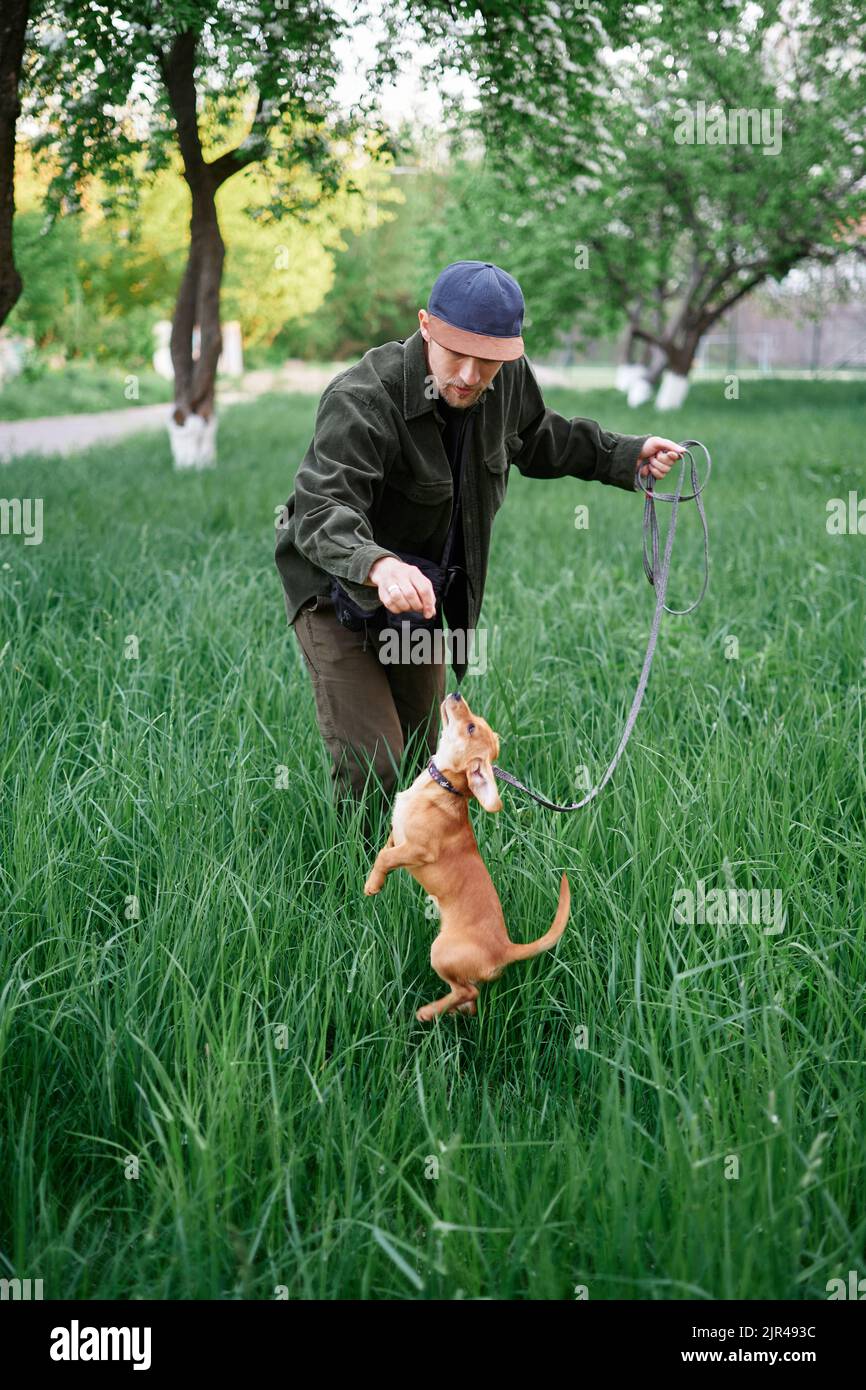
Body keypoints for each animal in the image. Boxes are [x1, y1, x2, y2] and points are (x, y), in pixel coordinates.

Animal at [364, 686, 572, 1023]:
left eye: (471, 727)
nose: (457, 693)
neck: (439, 786)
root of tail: (505, 948)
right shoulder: (397, 835)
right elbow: (385, 849)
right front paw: (374, 878)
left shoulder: (418, 850)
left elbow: (387, 857)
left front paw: (373, 885)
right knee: (469, 999)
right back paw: (448, 1013)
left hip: (441, 952)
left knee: (468, 992)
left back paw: (427, 1013)